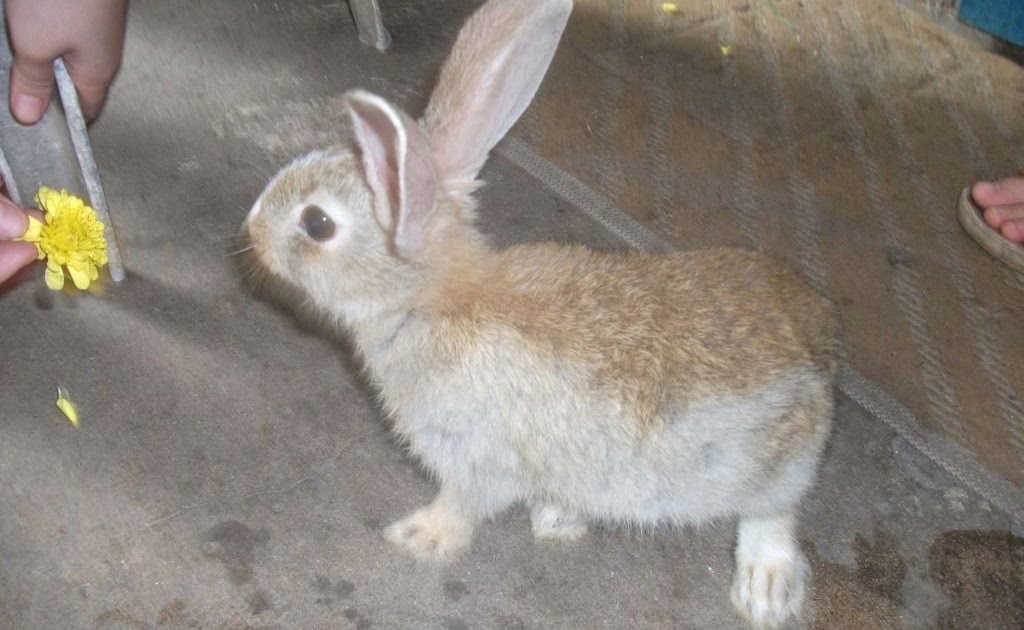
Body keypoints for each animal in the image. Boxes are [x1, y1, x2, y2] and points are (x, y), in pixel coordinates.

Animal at [243, 0, 837, 627]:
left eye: (317, 224)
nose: (252, 228)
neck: (428, 300)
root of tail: (820, 329)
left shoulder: (475, 457)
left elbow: (462, 506)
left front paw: (418, 537)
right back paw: (558, 515)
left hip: (772, 464)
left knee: (775, 513)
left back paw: (765, 589)